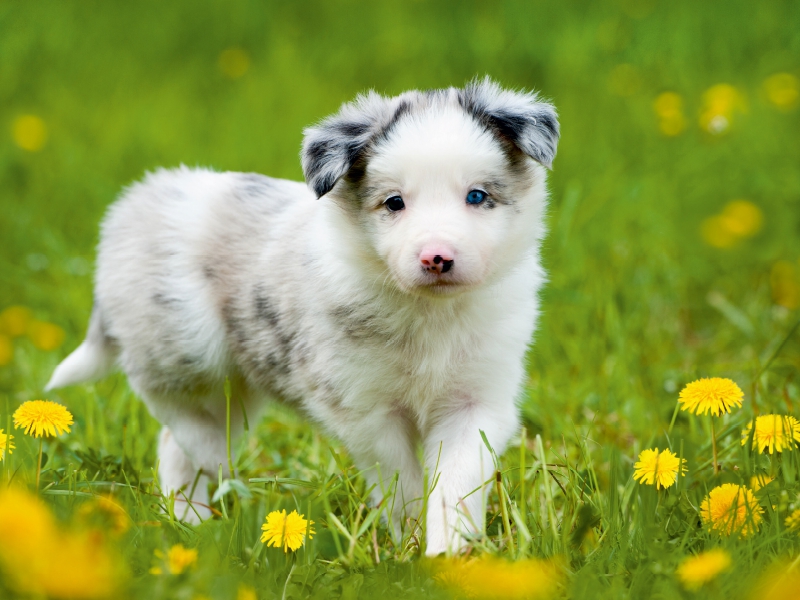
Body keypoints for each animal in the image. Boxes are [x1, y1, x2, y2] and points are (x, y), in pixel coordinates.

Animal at [47, 79, 560, 556]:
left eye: (476, 196)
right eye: (394, 202)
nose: (437, 257)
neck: (430, 313)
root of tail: (133, 203)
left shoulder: (476, 402)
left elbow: (456, 484)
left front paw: (447, 557)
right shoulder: (365, 408)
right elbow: (401, 480)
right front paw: (409, 544)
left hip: (235, 387)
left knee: (177, 444)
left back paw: (190, 523)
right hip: (182, 341)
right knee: (171, 408)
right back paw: (212, 473)